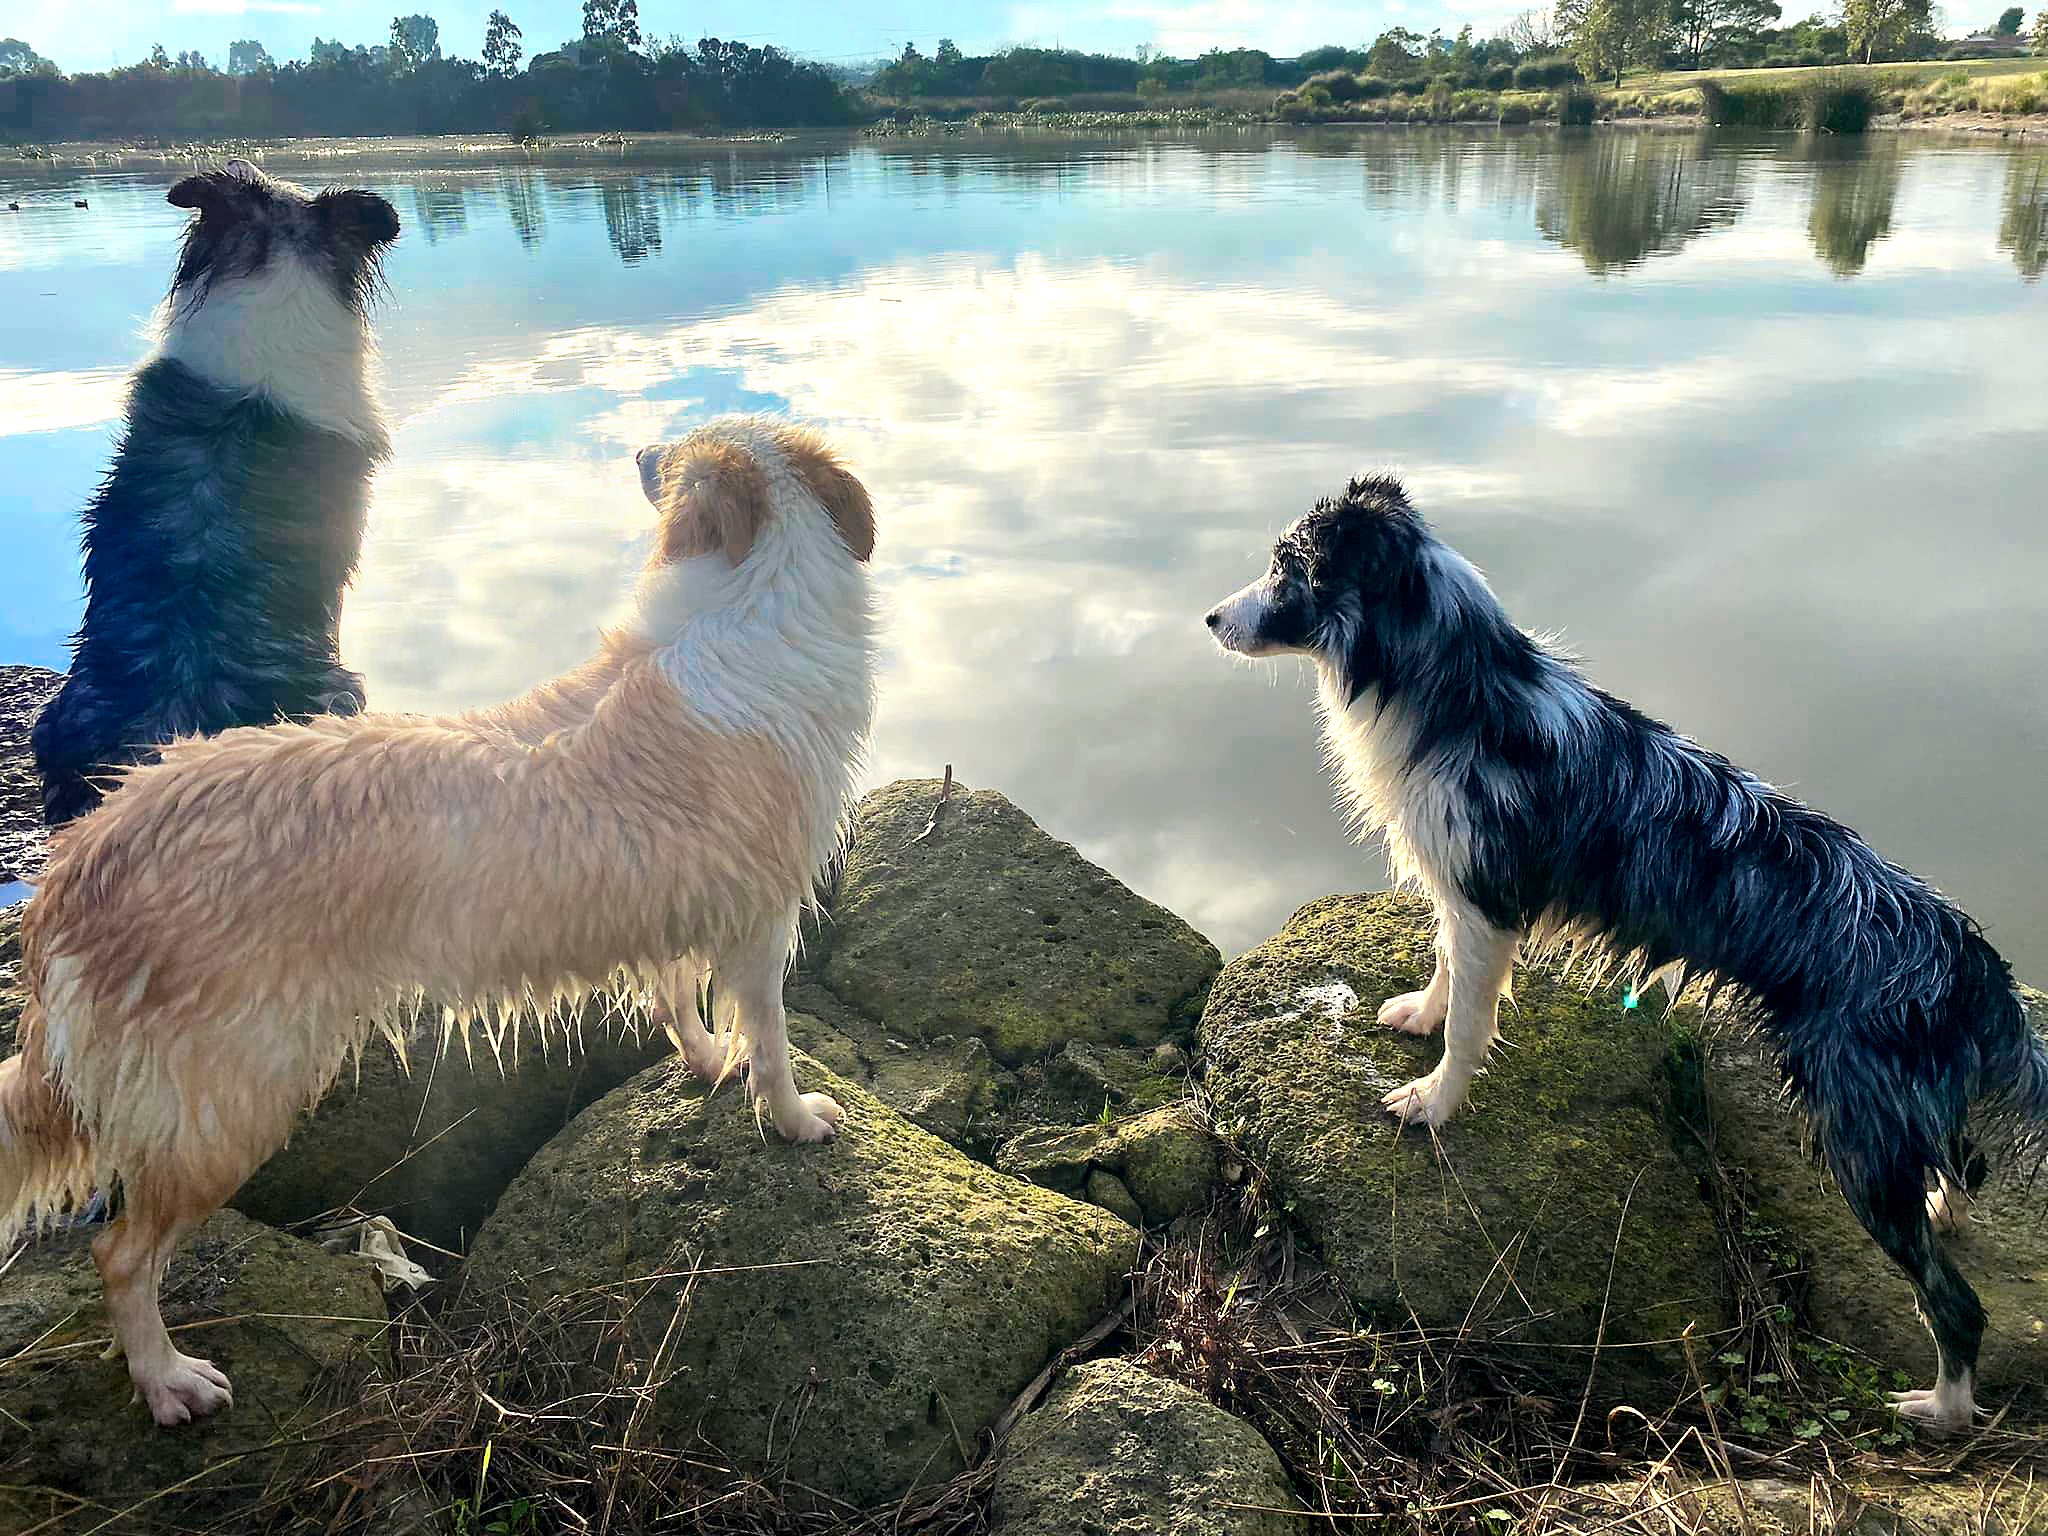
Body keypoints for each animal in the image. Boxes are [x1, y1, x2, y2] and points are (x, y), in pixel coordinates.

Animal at [0, 421, 872, 1433]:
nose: (641, 451)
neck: (749, 587)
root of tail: (82, 861)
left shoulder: (686, 901)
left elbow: (677, 993)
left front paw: (701, 1061)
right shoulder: (765, 919)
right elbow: (770, 1039)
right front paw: (796, 1120)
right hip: (231, 1100)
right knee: (122, 1254)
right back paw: (166, 1377)